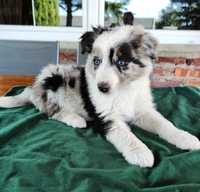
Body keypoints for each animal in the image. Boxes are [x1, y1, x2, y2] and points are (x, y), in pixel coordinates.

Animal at [0, 25, 200, 168]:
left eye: (122, 62)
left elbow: (164, 124)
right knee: (52, 111)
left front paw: (185, 138)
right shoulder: (106, 117)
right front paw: (141, 153)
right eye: (97, 61)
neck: (123, 91)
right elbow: (126, 135)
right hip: (54, 79)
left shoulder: (143, 110)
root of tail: (34, 88)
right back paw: (75, 119)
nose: (102, 88)